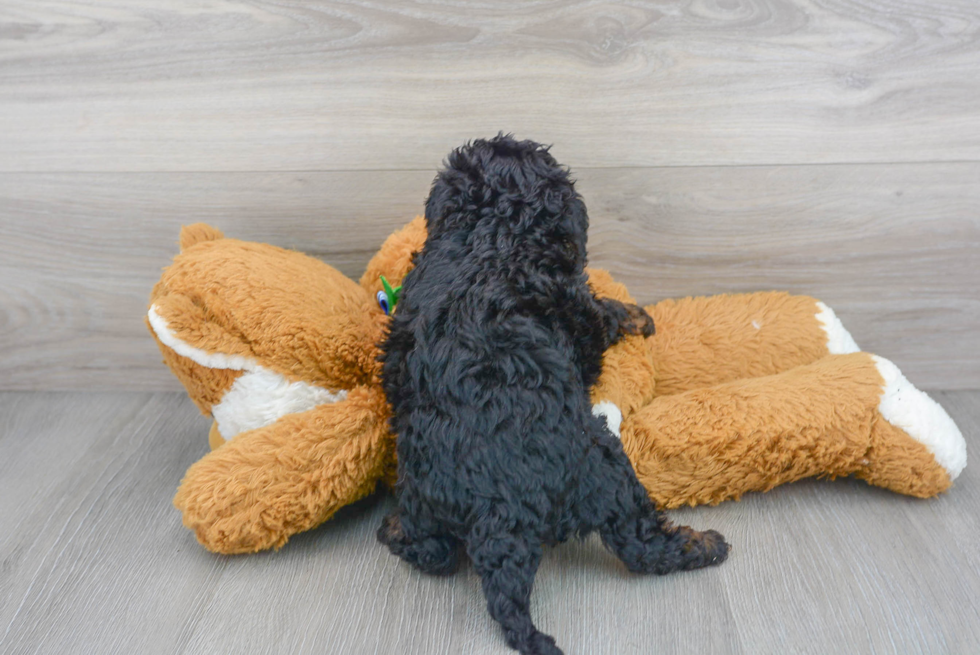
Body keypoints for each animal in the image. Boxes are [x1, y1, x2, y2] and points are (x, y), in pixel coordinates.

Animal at [378, 136, 732, 652]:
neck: (492, 233)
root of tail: (498, 509)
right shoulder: (578, 310)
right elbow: (603, 314)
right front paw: (636, 315)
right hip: (605, 466)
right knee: (642, 543)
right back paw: (704, 544)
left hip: (422, 495)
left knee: (433, 552)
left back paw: (393, 529)